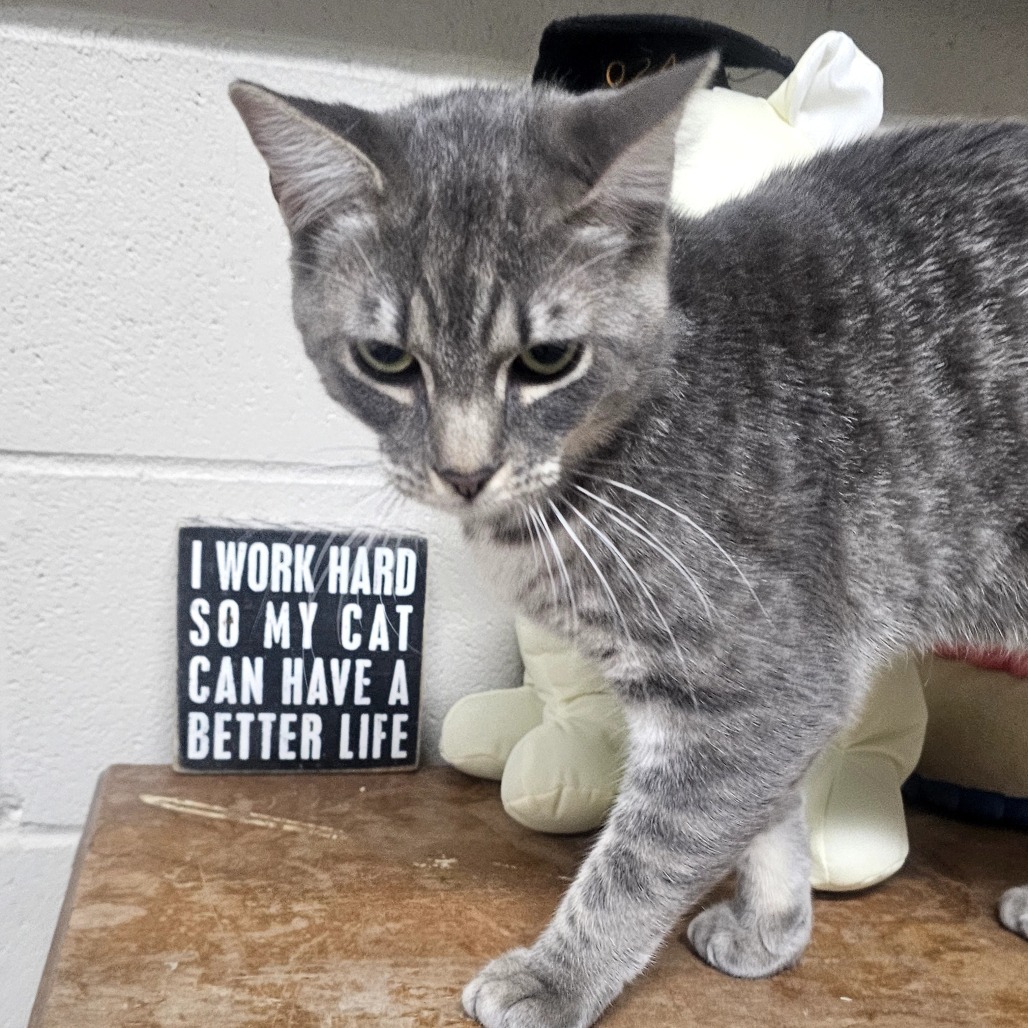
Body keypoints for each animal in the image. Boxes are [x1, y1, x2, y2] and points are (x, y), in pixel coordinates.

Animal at [233, 58, 1028, 1028]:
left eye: (548, 360)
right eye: (386, 360)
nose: (464, 472)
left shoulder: (765, 676)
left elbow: (648, 853)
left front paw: (559, 973)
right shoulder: (760, 689)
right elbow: (769, 817)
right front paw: (772, 926)